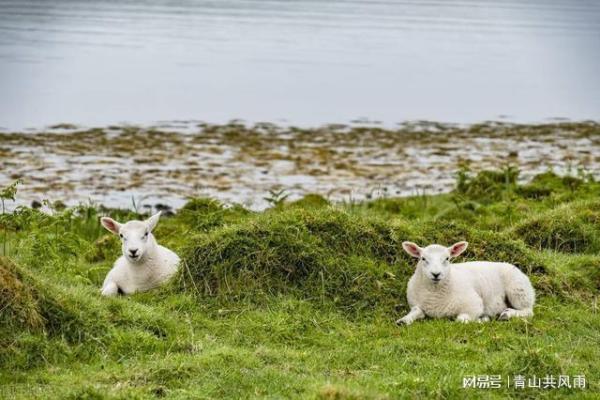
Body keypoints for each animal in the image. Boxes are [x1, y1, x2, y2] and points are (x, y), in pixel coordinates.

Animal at [398, 241, 536, 324]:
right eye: (423, 258)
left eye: (447, 258)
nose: (436, 274)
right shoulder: (416, 304)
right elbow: (416, 311)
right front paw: (403, 320)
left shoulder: (474, 304)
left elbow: (461, 319)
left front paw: (482, 319)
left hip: (518, 290)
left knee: (528, 311)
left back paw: (508, 314)